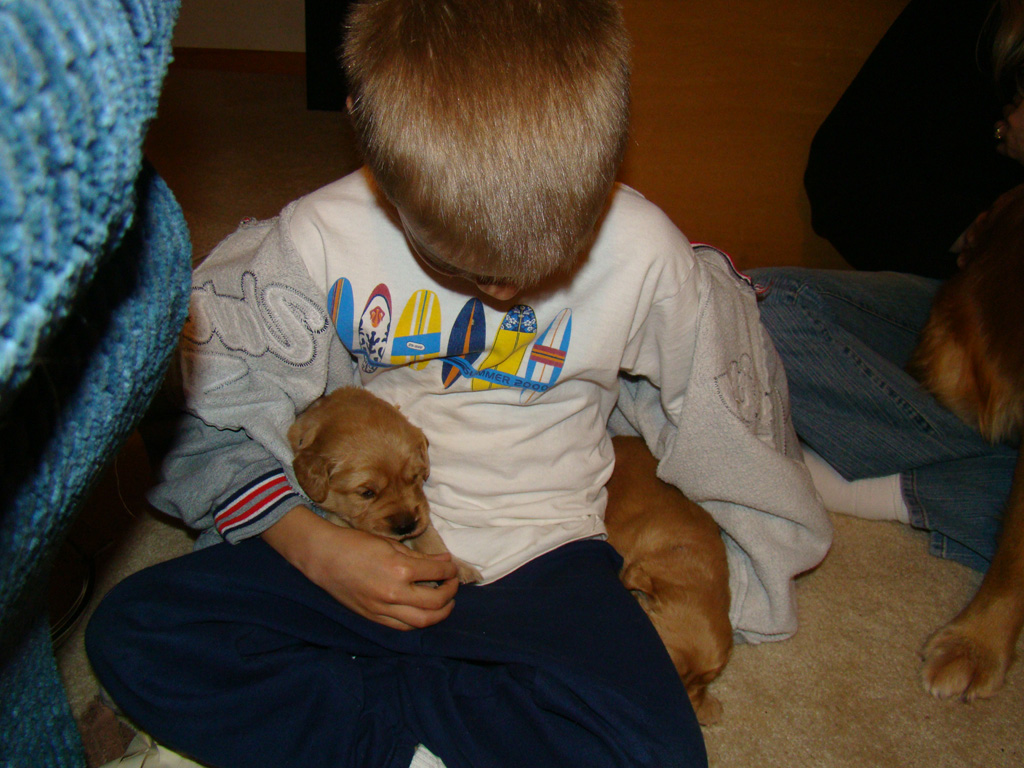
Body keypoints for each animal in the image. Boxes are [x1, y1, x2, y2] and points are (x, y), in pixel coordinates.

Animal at [286, 387, 481, 585]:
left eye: (414, 477)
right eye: (367, 493)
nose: (406, 526)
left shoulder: (420, 509)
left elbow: (428, 532)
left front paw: (459, 566)